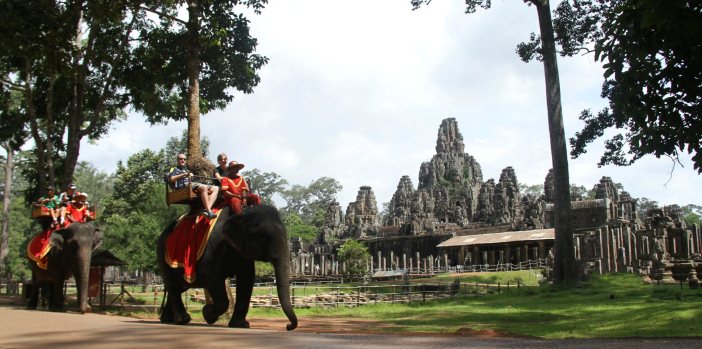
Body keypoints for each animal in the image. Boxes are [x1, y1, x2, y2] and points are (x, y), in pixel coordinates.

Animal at [158, 204, 298, 328]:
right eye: (263, 237)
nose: (288, 326)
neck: (241, 211)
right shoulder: (212, 249)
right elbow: (212, 278)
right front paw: (207, 314)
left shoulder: (242, 252)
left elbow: (247, 280)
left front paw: (240, 325)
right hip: (163, 254)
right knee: (173, 286)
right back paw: (182, 320)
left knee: (179, 287)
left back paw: (167, 319)